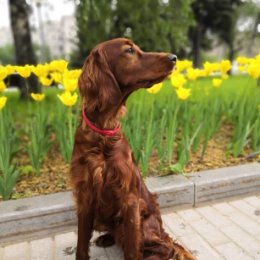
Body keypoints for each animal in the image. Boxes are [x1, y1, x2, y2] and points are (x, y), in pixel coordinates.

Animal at [70, 38, 194, 260]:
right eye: (129, 50)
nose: (173, 57)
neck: (104, 133)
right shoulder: (84, 195)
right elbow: (81, 245)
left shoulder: (130, 199)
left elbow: (131, 249)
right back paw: (105, 238)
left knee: (166, 248)